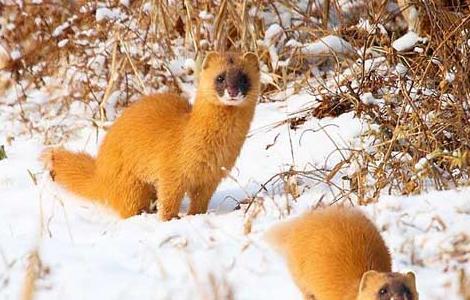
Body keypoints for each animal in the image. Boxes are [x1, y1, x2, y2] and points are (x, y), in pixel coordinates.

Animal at [42, 51, 260, 220]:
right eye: (220, 77)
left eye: (243, 77)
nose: (233, 91)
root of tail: (100, 171)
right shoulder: (170, 172)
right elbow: (169, 199)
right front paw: (170, 219)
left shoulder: (211, 178)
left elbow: (200, 201)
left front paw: (195, 216)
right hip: (130, 182)